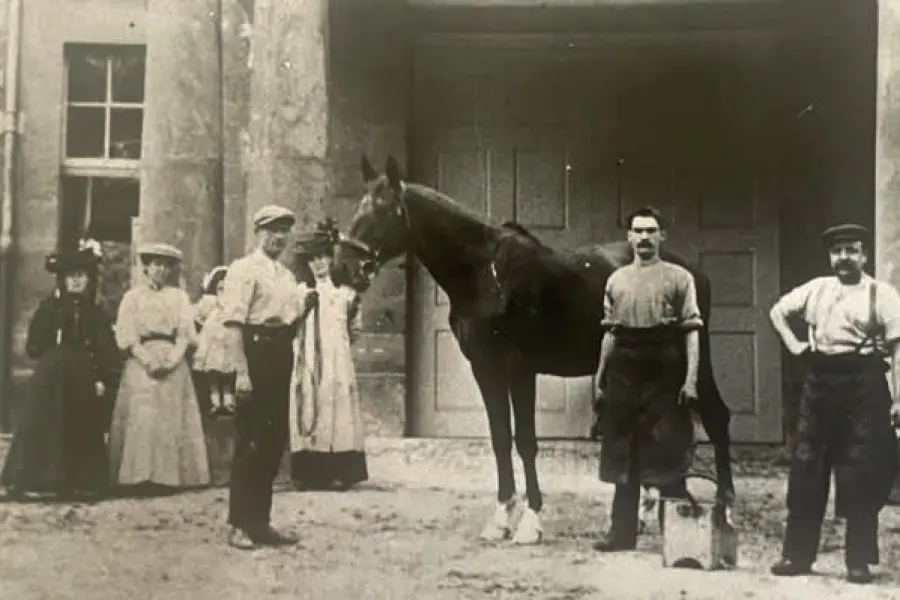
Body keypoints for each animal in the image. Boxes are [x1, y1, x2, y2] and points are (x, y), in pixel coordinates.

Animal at [333, 154, 736, 545]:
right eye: (357, 205)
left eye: (384, 208)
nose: (343, 269)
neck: (487, 274)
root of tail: (693, 271)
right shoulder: (485, 369)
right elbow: (500, 438)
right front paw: (500, 519)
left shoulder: (520, 368)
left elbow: (525, 440)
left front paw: (530, 522)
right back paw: (651, 510)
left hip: (697, 361)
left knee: (716, 417)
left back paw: (723, 509)